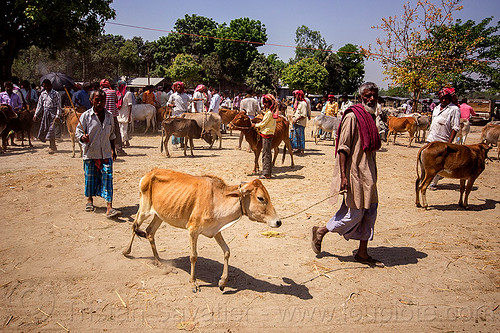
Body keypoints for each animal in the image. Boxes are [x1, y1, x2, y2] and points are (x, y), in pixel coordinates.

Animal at [122, 169, 282, 290]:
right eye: (261, 198)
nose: (278, 222)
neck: (216, 199)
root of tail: (150, 173)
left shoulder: (216, 231)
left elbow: (227, 251)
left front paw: (223, 282)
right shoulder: (193, 230)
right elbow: (193, 256)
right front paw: (193, 283)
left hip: (159, 215)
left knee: (149, 232)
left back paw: (159, 262)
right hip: (144, 209)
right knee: (134, 226)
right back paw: (126, 251)